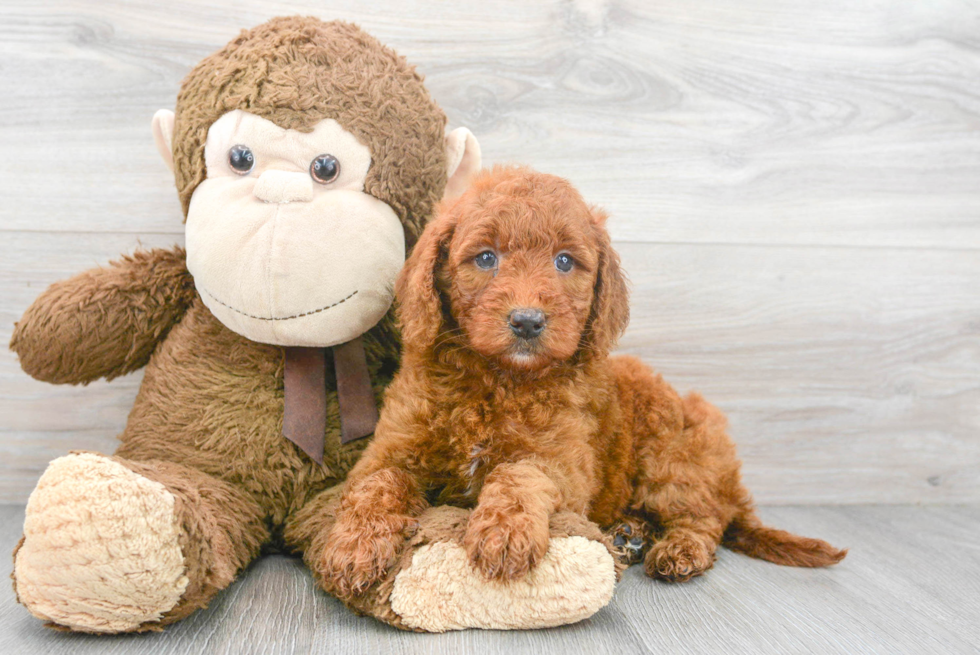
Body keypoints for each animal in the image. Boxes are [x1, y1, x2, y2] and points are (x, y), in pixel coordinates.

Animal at [320, 165, 844, 600]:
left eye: (565, 262)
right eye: (486, 258)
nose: (527, 321)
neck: (497, 379)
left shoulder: (563, 462)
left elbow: (520, 473)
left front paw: (505, 532)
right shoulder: (389, 448)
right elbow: (380, 482)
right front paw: (354, 546)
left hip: (670, 457)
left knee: (703, 517)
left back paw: (679, 551)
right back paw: (629, 534)